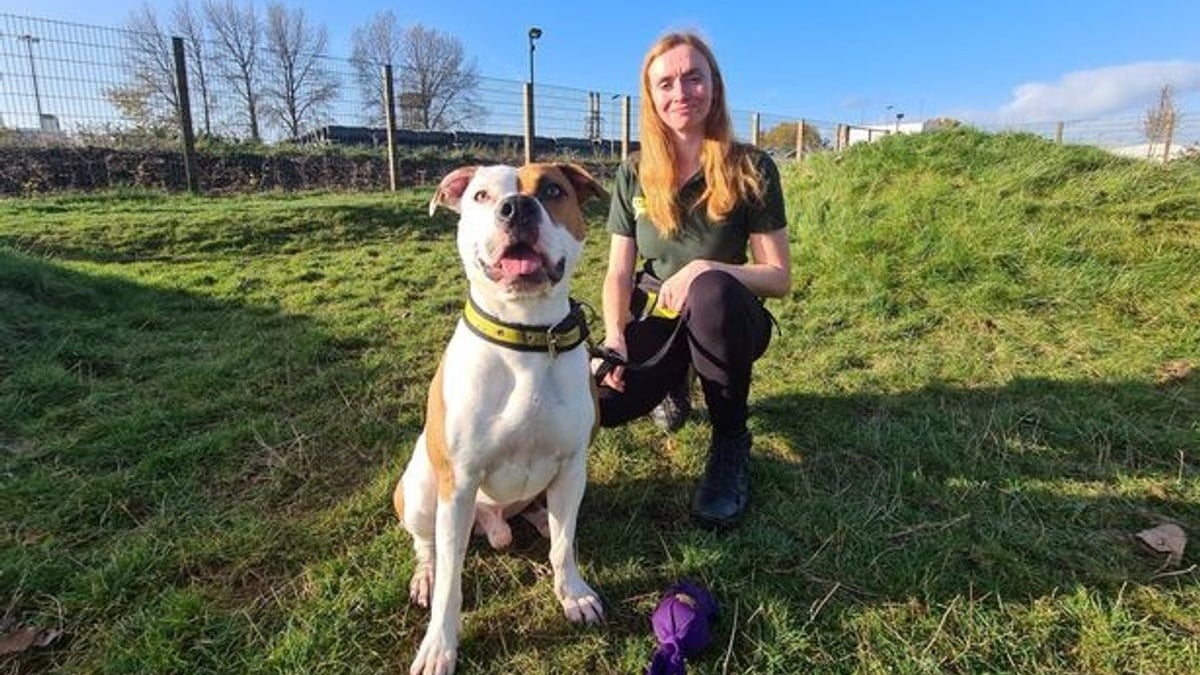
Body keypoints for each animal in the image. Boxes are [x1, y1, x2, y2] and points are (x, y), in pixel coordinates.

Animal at [396, 163, 609, 672]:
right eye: (481, 195)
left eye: (553, 190)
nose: (516, 207)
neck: (525, 334)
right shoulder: (459, 481)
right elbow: (451, 583)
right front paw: (439, 646)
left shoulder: (572, 467)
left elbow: (563, 545)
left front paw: (573, 594)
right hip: (420, 492)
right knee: (427, 545)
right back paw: (425, 575)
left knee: (552, 523)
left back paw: (541, 522)